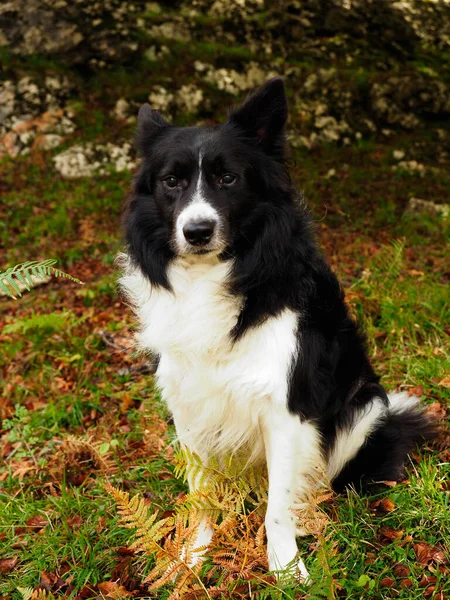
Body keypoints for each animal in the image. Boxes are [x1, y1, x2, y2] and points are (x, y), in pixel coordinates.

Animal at [118, 77, 434, 580]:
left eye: (228, 178)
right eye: (172, 181)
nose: (197, 231)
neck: (213, 275)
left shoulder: (287, 409)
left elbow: (277, 508)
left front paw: (285, 569)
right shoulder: (189, 406)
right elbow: (201, 496)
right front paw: (194, 557)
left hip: (363, 408)